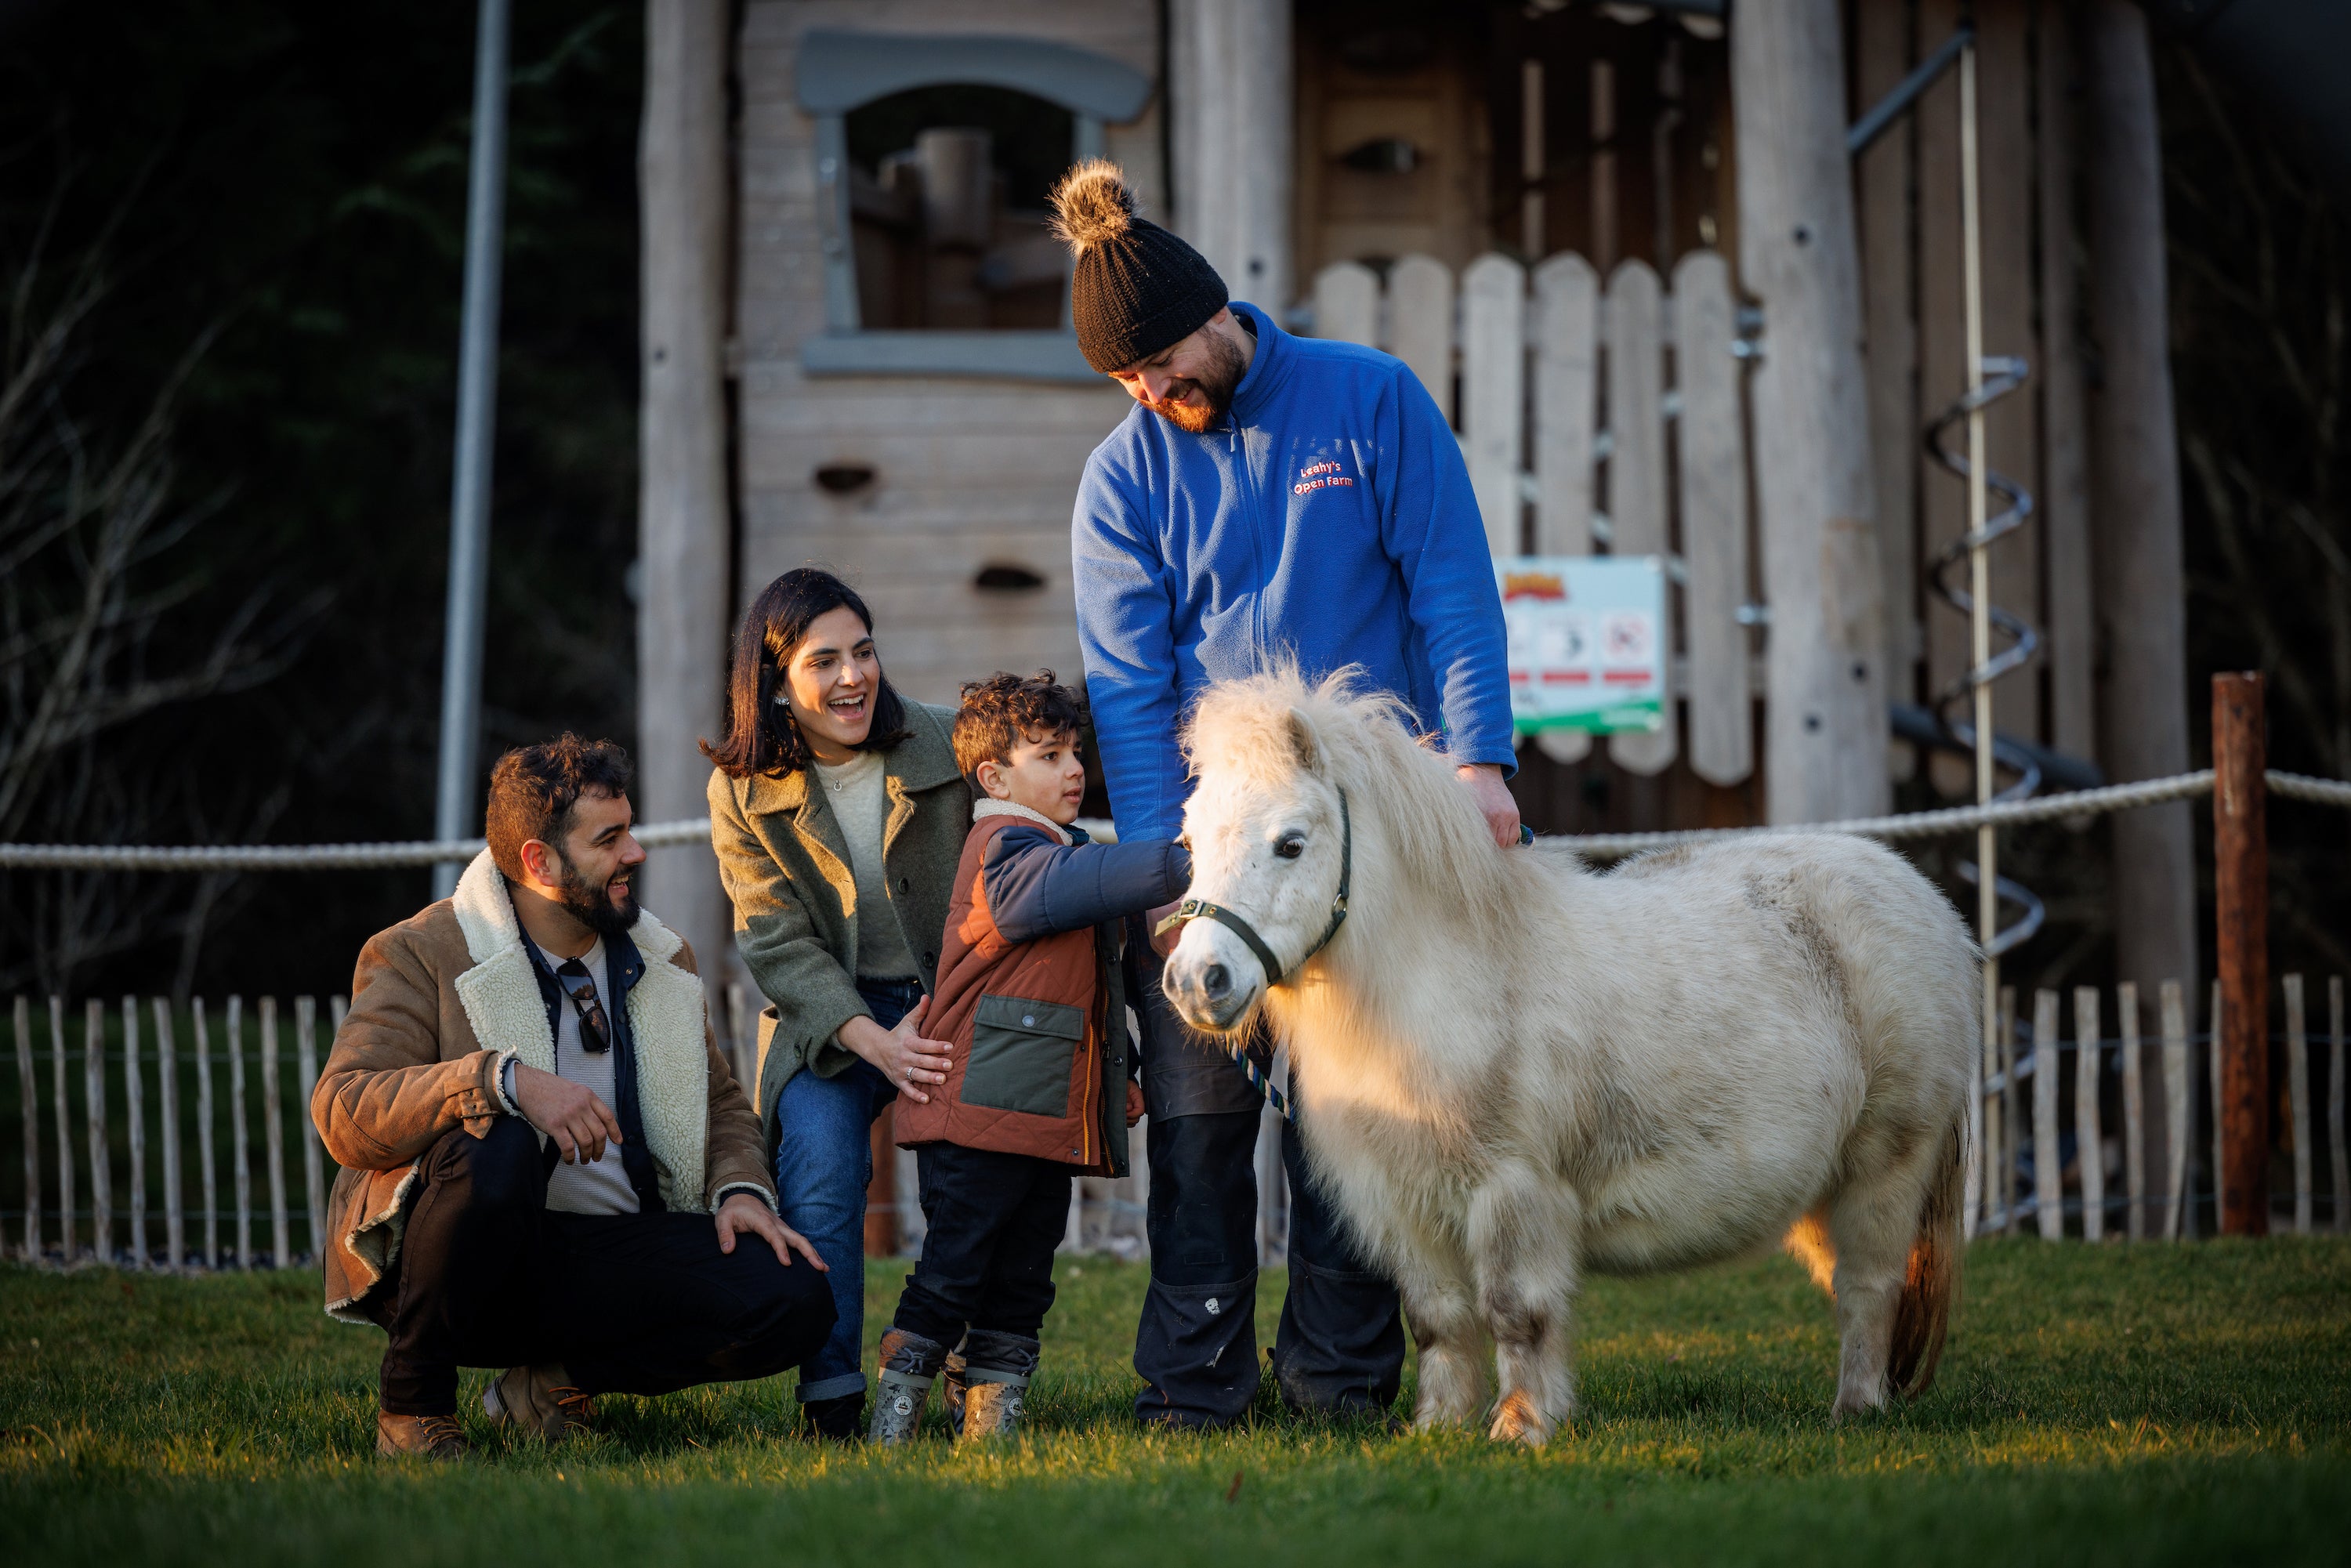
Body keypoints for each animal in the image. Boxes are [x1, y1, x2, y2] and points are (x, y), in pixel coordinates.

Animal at [1158, 670, 1977, 1445]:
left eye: (1291, 842)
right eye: (1192, 844)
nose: (1198, 981)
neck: (1450, 982)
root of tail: (1924, 899)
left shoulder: (1513, 1194)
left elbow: (1515, 1313)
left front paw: (1522, 1426)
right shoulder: (1406, 1203)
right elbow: (1437, 1319)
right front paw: (1438, 1427)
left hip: (1884, 1169)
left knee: (1870, 1287)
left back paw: (1857, 1410)